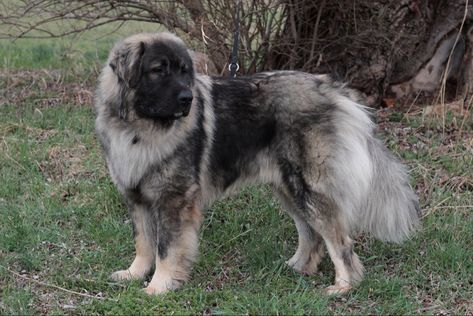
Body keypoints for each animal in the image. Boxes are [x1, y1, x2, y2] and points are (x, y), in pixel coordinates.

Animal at [94, 31, 418, 294]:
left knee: (339, 241)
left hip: (310, 188)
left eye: (185, 73)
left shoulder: (173, 200)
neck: (140, 131)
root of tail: (332, 88)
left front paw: (158, 286)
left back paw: (343, 286)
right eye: (158, 71)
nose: (187, 98)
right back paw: (297, 267)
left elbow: (166, 249)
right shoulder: (137, 198)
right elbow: (144, 242)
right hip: (289, 189)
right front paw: (134, 274)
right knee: (311, 233)